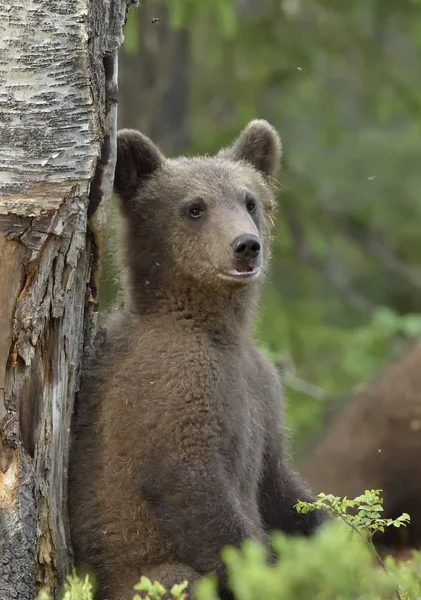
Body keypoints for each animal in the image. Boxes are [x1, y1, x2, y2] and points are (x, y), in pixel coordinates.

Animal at [68, 118, 324, 600]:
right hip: (131, 574)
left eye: (250, 200)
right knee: (173, 576)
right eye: (194, 208)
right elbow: (191, 485)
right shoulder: (171, 379)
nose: (246, 246)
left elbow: (280, 484)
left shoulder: (262, 391)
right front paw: (269, 576)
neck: (217, 328)